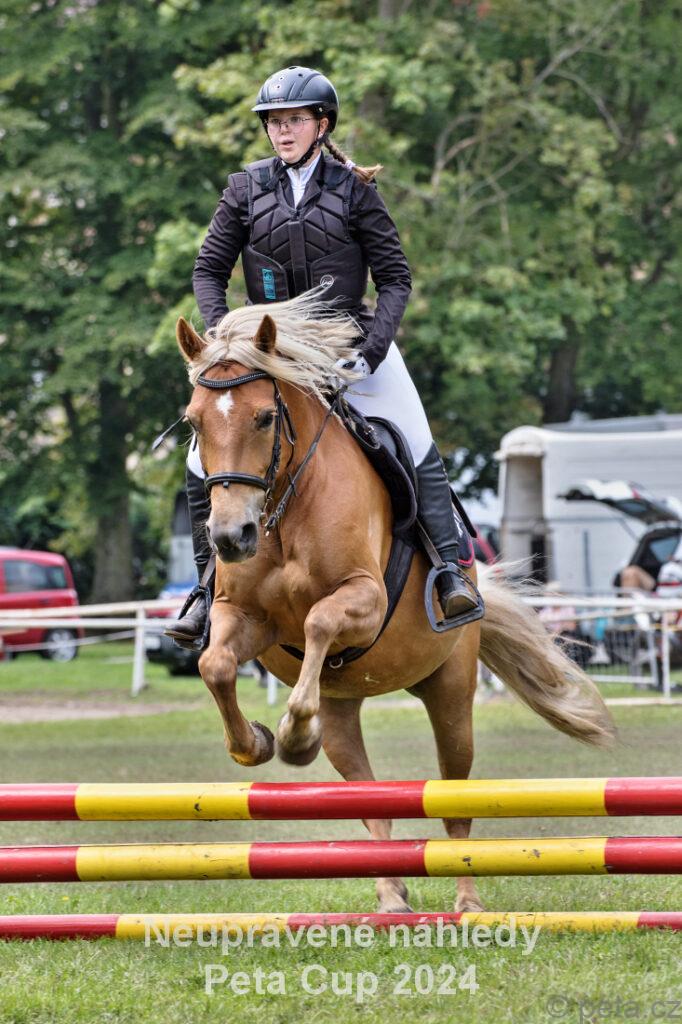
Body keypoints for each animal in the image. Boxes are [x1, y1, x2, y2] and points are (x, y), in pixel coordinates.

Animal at [175, 290, 615, 914]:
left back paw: (466, 900)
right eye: (194, 423)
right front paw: (256, 743)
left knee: (454, 798)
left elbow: (319, 619)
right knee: (368, 794)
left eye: (265, 417)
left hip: (451, 690)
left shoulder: (365, 602)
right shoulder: (245, 618)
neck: (284, 511)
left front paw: (293, 735)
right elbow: (215, 664)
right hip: (344, 708)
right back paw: (389, 892)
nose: (231, 537)